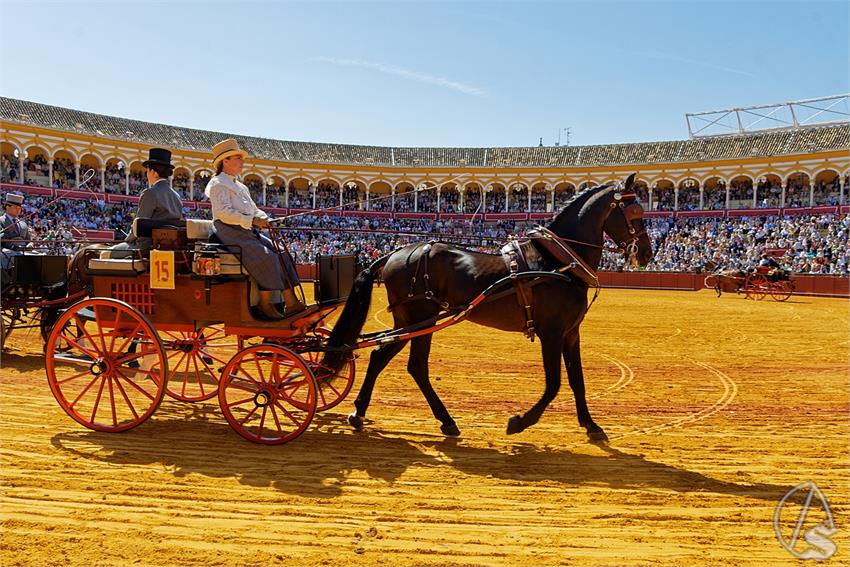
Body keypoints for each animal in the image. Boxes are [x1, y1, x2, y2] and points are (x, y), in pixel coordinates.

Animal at [322, 174, 648, 444]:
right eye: (635, 213)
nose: (647, 252)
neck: (558, 261)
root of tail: (395, 253)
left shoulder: (570, 333)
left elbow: (577, 381)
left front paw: (592, 426)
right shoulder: (551, 332)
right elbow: (554, 383)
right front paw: (518, 422)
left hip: (413, 321)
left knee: (387, 358)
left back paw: (369, 414)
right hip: (421, 318)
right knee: (411, 365)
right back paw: (436, 419)